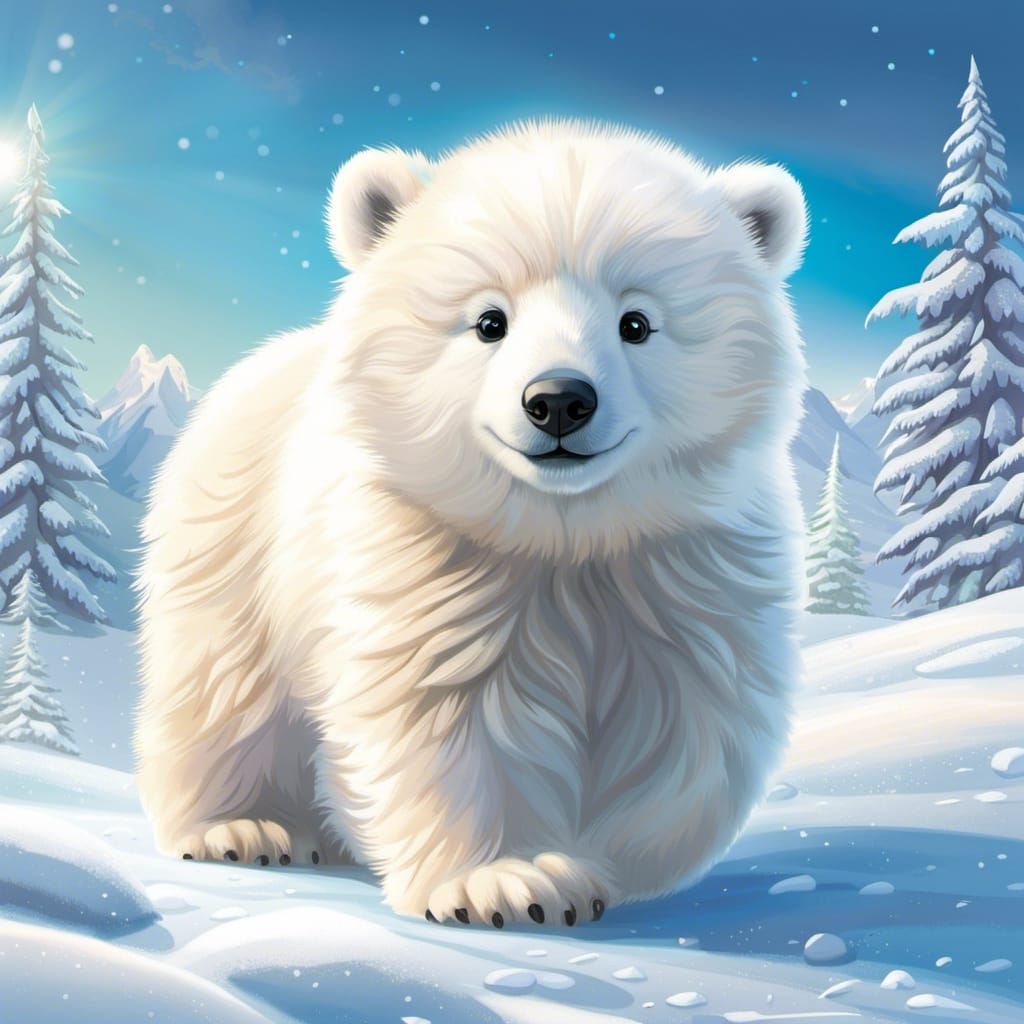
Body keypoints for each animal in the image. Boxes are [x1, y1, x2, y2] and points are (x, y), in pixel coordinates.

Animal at [135, 119, 808, 927]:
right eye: (490, 321)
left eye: (636, 322)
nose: (559, 399)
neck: (561, 537)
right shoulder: (432, 569)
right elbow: (448, 720)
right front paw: (513, 882)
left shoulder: (679, 572)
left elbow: (679, 733)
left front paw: (605, 863)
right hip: (234, 552)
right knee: (225, 690)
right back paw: (245, 826)